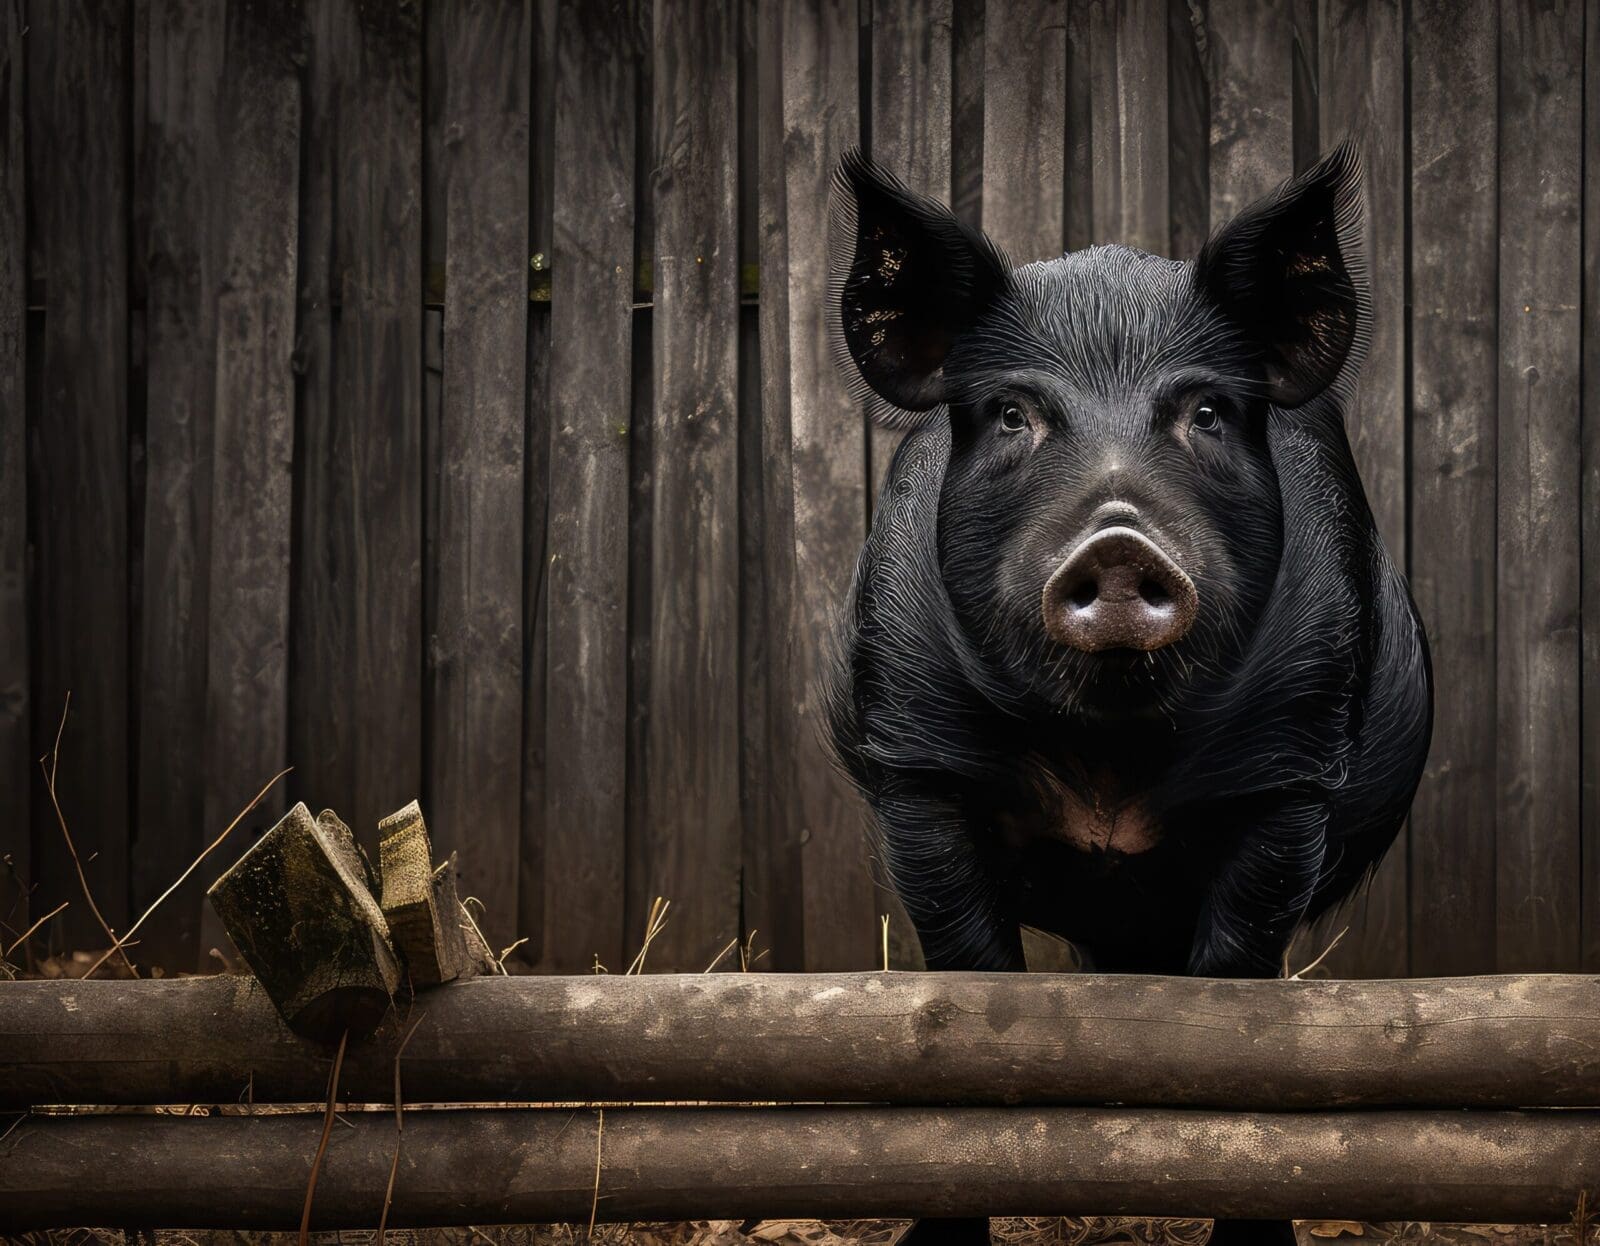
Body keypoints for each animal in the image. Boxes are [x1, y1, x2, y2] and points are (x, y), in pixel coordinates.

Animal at [824, 145, 1432, 1245]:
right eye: (1012, 413)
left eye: (1205, 413)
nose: (1116, 538)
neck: (1112, 757)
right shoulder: (920, 767)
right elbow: (967, 984)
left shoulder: (1289, 773)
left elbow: (1232, 992)